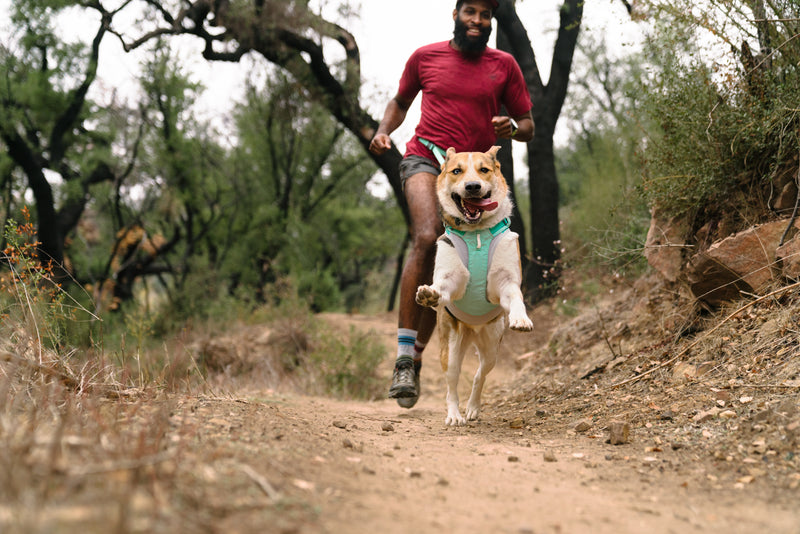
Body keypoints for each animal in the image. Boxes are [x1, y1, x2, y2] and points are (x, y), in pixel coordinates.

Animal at [416, 146, 536, 428]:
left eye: (484, 169)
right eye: (456, 170)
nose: (472, 186)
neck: (477, 232)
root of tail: (471, 329)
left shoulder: (505, 282)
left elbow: (514, 296)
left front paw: (521, 318)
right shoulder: (451, 277)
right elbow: (444, 287)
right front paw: (430, 294)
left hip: (491, 346)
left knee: (479, 375)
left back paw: (472, 408)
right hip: (450, 347)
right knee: (452, 383)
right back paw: (455, 414)